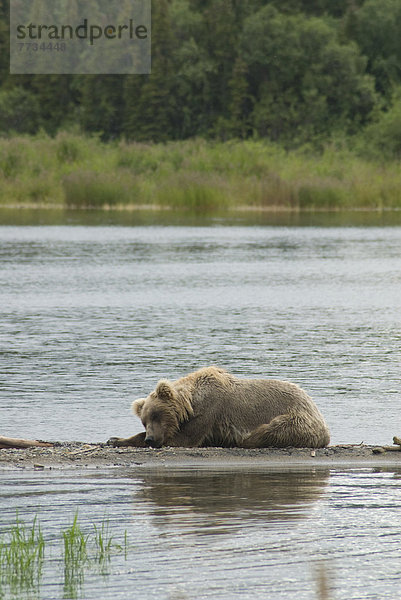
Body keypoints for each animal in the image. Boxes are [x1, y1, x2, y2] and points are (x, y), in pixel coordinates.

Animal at [108, 366, 330, 450]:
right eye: (144, 421)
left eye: (156, 415)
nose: (151, 439)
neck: (191, 403)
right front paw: (115, 439)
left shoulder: (209, 412)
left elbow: (183, 439)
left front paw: (118, 439)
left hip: (295, 419)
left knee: (268, 430)